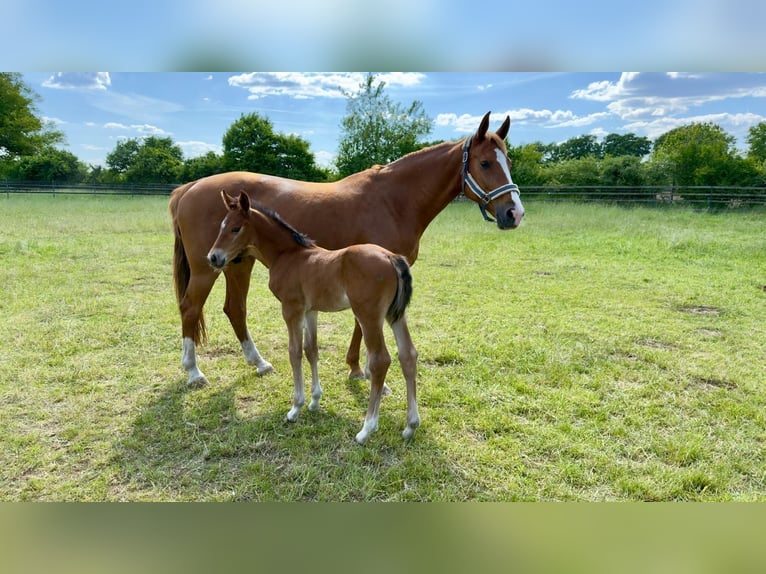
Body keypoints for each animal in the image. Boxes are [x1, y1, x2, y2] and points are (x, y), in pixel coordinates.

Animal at [169, 112, 524, 388]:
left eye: (508, 161)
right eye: (485, 163)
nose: (514, 213)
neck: (394, 200)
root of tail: (190, 187)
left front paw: (356, 367)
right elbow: (363, 324)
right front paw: (360, 369)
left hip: (236, 263)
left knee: (235, 309)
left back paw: (259, 363)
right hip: (208, 267)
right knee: (190, 308)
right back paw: (194, 372)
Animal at [208, 190, 419, 444]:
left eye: (235, 228)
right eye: (221, 226)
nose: (213, 257)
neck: (287, 255)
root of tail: (391, 257)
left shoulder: (291, 309)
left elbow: (294, 352)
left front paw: (295, 408)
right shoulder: (310, 311)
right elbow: (312, 350)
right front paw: (315, 400)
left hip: (368, 315)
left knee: (381, 360)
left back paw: (366, 429)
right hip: (395, 315)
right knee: (408, 355)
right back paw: (410, 426)